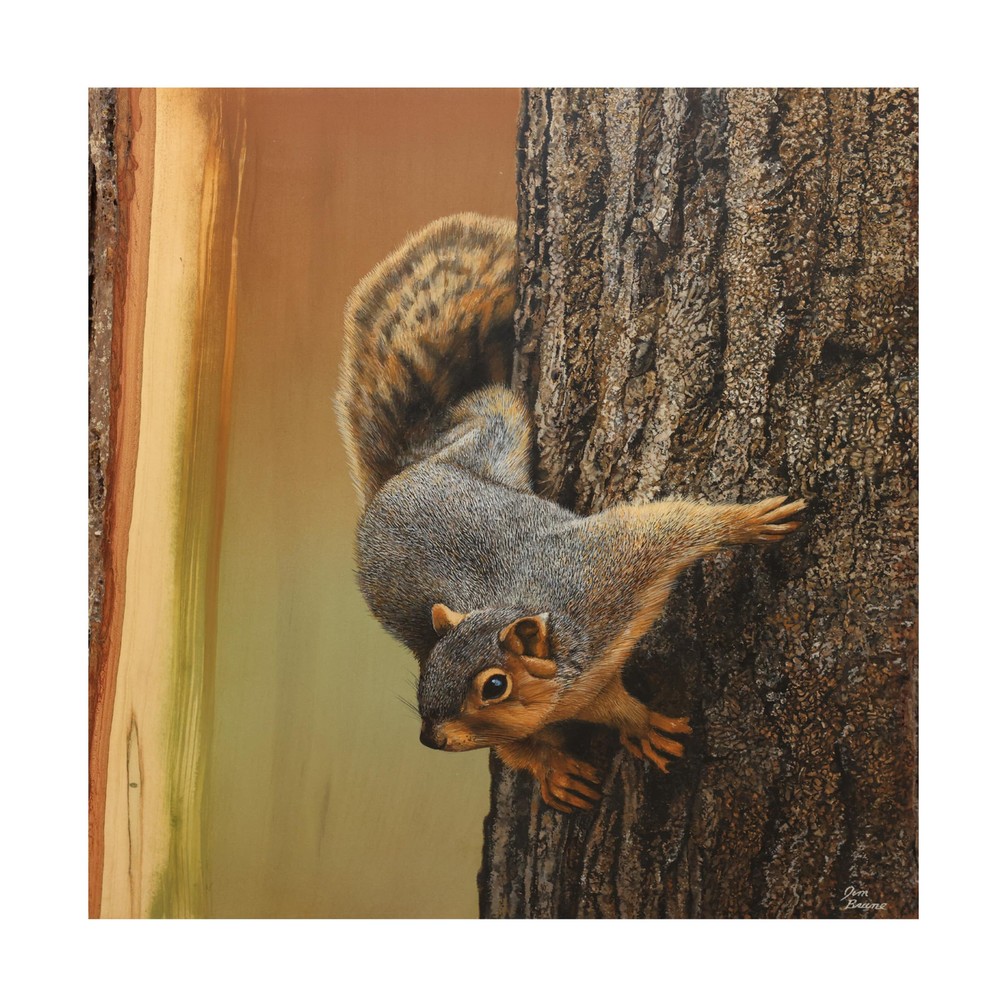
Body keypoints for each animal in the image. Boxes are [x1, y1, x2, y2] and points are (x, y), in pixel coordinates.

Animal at [336, 213, 806, 814]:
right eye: (428, 675)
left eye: (495, 685)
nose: (430, 739)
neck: (567, 650)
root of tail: (404, 473)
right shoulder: (576, 686)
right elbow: (557, 729)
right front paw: (580, 756)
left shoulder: (609, 567)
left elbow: (667, 527)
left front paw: (747, 521)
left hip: (494, 430)